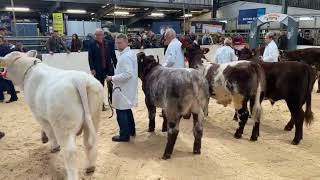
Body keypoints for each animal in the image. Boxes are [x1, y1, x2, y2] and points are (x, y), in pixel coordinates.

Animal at [0, 50, 102, 180]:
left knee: (70, 151)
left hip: (63, 127)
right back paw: (90, 167)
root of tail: (79, 79)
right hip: (93, 118)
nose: (2, 72)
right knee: (89, 143)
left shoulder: (38, 114)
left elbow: (48, 130)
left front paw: (52, 145)